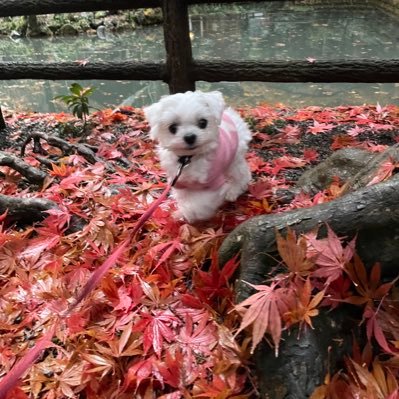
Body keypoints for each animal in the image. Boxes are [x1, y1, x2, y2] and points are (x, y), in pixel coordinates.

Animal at [143, 90, 250, 225]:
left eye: (203, 123)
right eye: (172, 128)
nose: (189, 137)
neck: (188, 159)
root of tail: (230, 114)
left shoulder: (213, 184)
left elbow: (199, 204)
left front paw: (189, 214)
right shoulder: (180, 183)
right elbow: (184, 198)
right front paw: (181, 212)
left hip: (234, 158)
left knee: (241, 175)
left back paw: (233, 191)